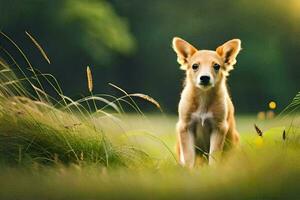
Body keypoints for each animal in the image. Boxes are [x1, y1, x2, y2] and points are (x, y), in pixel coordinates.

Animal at [172, 36, 240, 167]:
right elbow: (188, 156)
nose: (204, 78)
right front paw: (188, 170)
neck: (204, 97)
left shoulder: (219, 127)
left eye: (216, 66)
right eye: (194, 66)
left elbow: (214, 155)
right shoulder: (185, 127)